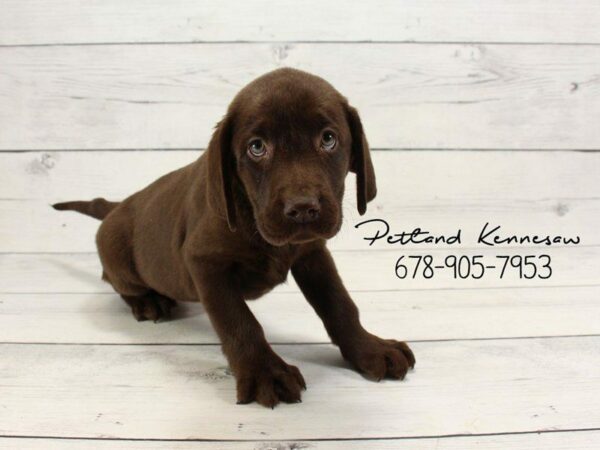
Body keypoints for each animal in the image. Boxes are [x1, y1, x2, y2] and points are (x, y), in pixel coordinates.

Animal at [54, 67, 414, 408]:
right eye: (256, 147)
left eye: (328, 139)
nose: (302, 208)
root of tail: (117, 206)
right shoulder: (204, 262)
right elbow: (238, 321)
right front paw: (266, 373)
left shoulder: (312, 253)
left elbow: (339, 304)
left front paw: (369, 348)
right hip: (118, 256)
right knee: (114, 279)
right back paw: (148, 301)